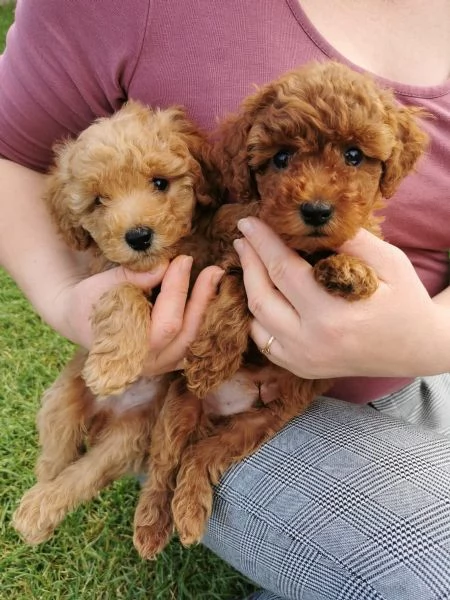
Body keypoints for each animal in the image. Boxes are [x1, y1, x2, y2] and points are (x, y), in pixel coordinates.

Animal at [13, 102, 217, 544]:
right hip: (61, 400)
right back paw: (37, 506)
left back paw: (39, 510)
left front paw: (114, 364)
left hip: (127, 439)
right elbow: (123, 292)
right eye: (97, 201)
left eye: (160, 182)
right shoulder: (103, 277)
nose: (138, 236)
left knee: (84, 474)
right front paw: (112, 366)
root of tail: (102, 418)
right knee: (56, 458)